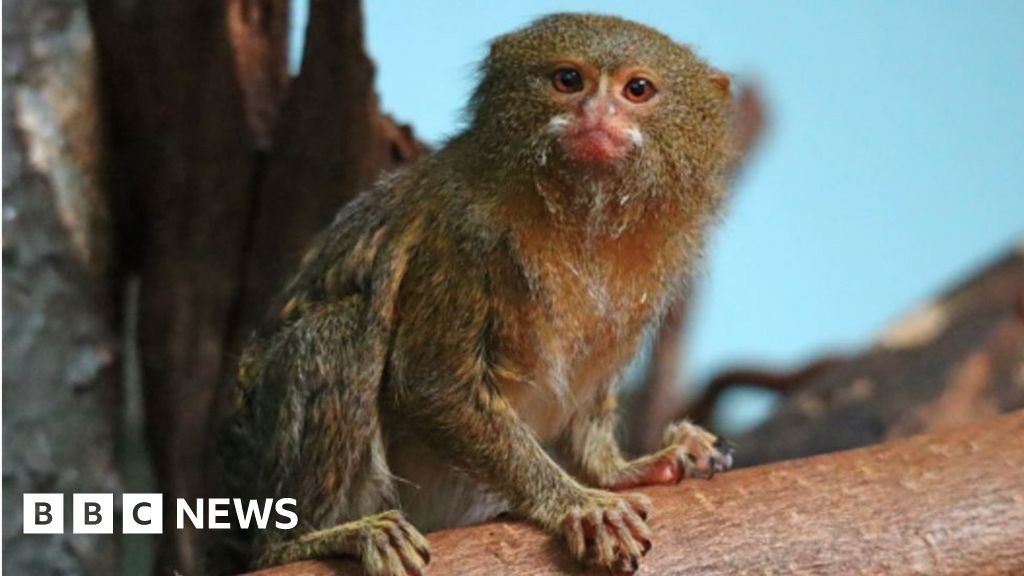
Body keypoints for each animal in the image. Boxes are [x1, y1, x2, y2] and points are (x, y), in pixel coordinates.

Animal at [218, 13, 737, 573]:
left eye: (637, 90)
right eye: (568, 80)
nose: (596, 115)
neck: (579, 215)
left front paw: (620, 468)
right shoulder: (463, 238)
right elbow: (433, 382)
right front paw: (575, 502)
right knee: (338, 334)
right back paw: (316, 537)